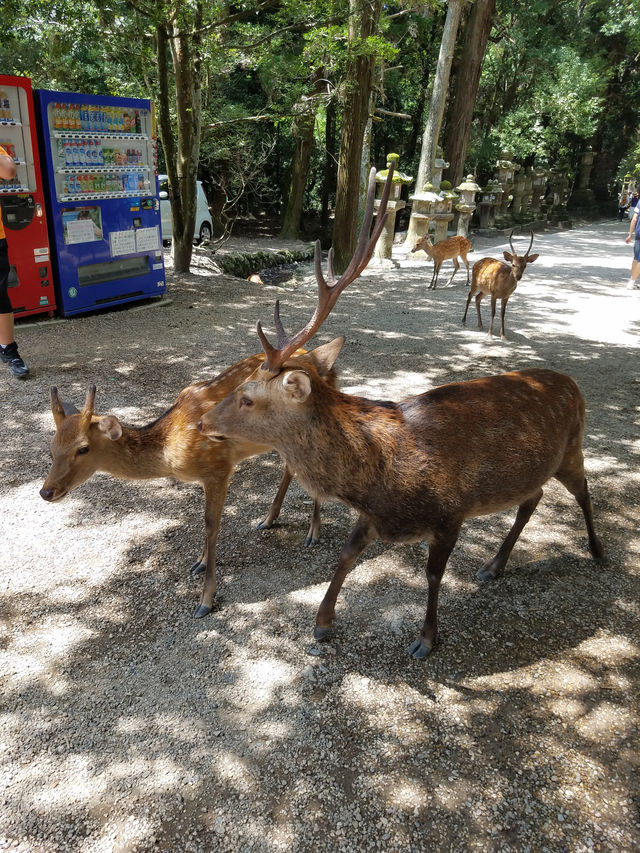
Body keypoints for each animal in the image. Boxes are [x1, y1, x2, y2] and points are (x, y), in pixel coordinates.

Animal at [40, 352, 332, 620]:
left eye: (83, 448)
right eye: (52, 446)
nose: (46, 491)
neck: (170, 450)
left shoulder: (218, 467)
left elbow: (212, 524)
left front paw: (205, 600)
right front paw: (199, 563)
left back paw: (313, 533)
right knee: (290, 466)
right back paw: (268, 520)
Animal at [198, 166, 604, 660]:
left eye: (247, 398)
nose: (202, 422)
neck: (378, 478)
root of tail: (573, 384)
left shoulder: (451, 513)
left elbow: (432, 574)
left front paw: (425, 638)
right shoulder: (375, 516)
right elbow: (346, 555)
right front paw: (321, 624)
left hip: (574, 447)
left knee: (584, 492)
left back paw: (598, 552)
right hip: (539, 468)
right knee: (533, 499)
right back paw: (494, 565)